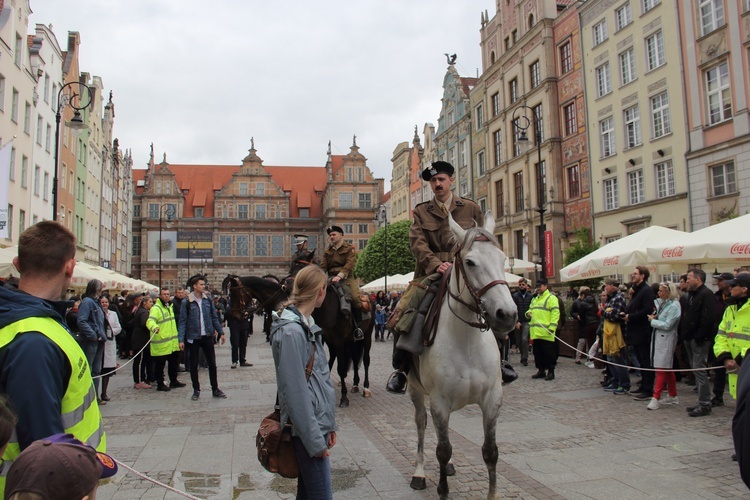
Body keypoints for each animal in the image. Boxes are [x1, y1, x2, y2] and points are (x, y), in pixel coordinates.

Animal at [408, 212, 520, 500]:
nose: (507, 314)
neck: (467, 340)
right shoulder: (439, 401)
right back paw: (419, 472)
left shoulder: (492, 398)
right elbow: (442, 448)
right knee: (421, 424)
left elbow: (490, 452)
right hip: (415, 390)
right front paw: (442, 489)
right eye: (469, 262)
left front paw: (492, 494)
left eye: (503, 259)